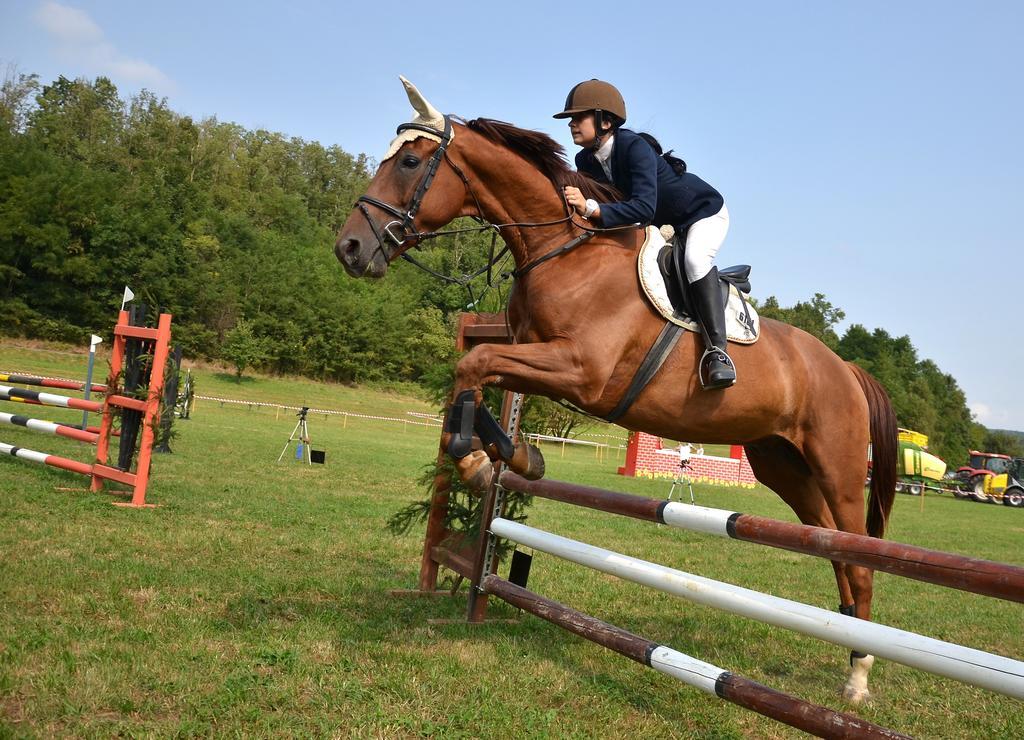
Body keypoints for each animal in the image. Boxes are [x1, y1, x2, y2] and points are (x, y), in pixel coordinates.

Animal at [335, 80, 897, 708]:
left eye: (409, 162)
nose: (349, 248)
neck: (564, 250)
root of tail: (846, 368)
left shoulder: (580, 371)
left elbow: (475, 363)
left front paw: (477, 462)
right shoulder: (537, 359)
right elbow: (478, 376)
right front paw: (516, 456)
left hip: (836, 465)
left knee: (860, 555)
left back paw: (858, 675)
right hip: (782, 465)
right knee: (833, 547)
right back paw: (850, 648)